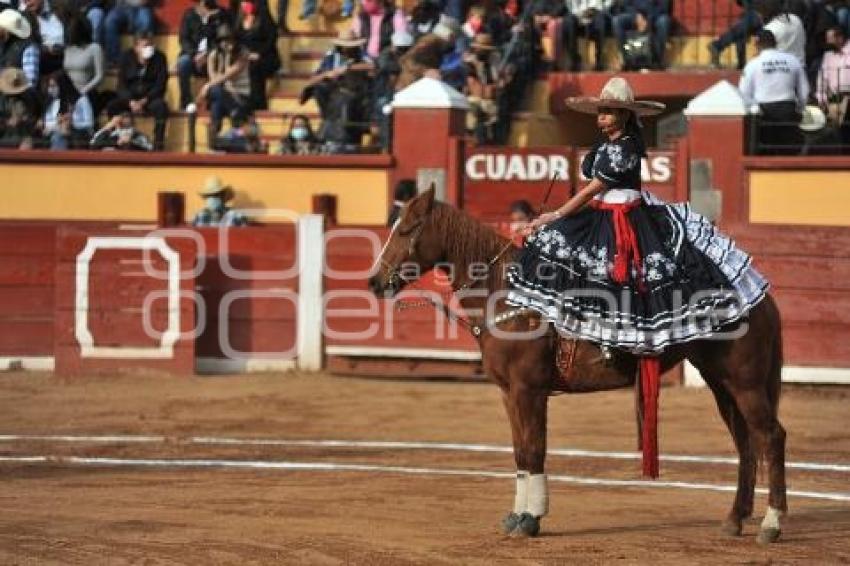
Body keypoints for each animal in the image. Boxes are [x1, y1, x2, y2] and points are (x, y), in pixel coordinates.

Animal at [368, 189, 784, 548]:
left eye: (406, 229)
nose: (374, 282)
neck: (505, 295)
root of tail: (759, 295)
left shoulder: (529, 390)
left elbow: (534, 449)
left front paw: (531, 519)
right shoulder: (508, 393)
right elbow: (519, 451)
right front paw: (516, 515)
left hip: (745, 383)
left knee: (771, 436)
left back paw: (771, 524)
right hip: (721, 383)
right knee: (746, 443)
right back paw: (734, 519)